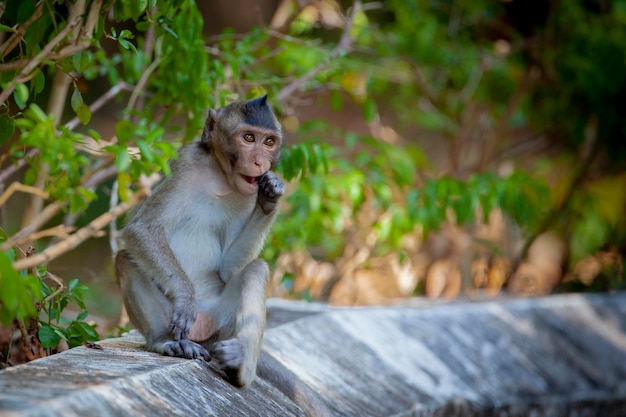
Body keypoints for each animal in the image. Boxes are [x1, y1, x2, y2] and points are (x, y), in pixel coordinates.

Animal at [114, 95, 282, 386]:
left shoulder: (248, 194)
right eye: (249, 138)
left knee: (256, 270)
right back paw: (165, 341)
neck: (221, 177)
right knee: (125, 259)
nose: (260, 163)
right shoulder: (186, 164)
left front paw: (271, 195)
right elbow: (143, 229)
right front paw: (185, 296)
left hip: (222, 325)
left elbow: (229, 268)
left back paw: (241, 367)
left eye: (269, 142)